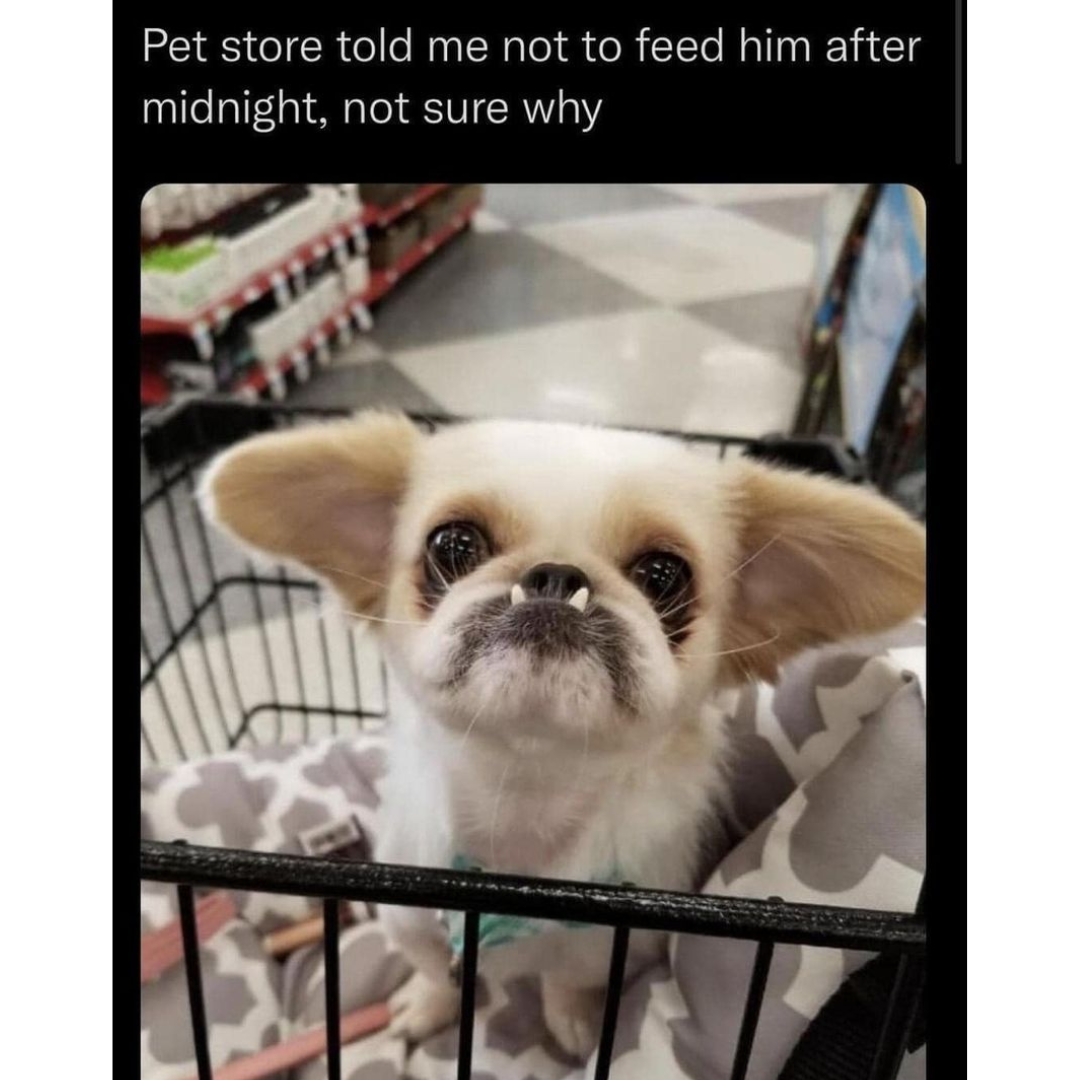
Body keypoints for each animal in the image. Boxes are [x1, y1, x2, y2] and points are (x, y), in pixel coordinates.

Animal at [201, 411, 925, 1058]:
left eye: (662, 575)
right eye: (453, 545)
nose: (554, 575)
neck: (524, 794)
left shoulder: (604, 944)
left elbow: (567, 982)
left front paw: (572, 1026)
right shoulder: (409, 920)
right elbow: (436, 971)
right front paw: (428, 1006)